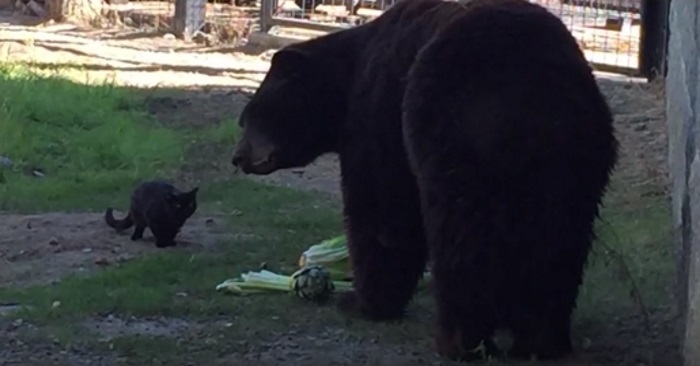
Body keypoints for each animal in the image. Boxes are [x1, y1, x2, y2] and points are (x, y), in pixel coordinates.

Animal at [230, 0, 616, 360]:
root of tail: (535, 91)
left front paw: (362, 301)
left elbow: (381, 208)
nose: (238, 157)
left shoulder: (378, 114)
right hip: (576, 157)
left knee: (461, 238)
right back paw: (541, 340)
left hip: (454, 130)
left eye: (249, 115)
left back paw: (461, 340)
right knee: (560, 241)